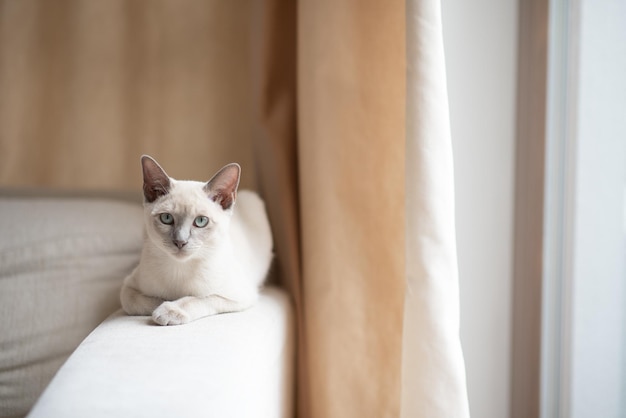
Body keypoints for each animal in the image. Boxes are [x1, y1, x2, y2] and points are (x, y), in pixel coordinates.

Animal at [119, 155, 270, 324]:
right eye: (166, 218)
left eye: (201, 221)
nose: (180, 241)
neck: (179, 268)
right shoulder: (128, 287)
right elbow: (140, 301)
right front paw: (164, 302)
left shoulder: (239, 295)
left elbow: (197, 299)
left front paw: (169, 309)